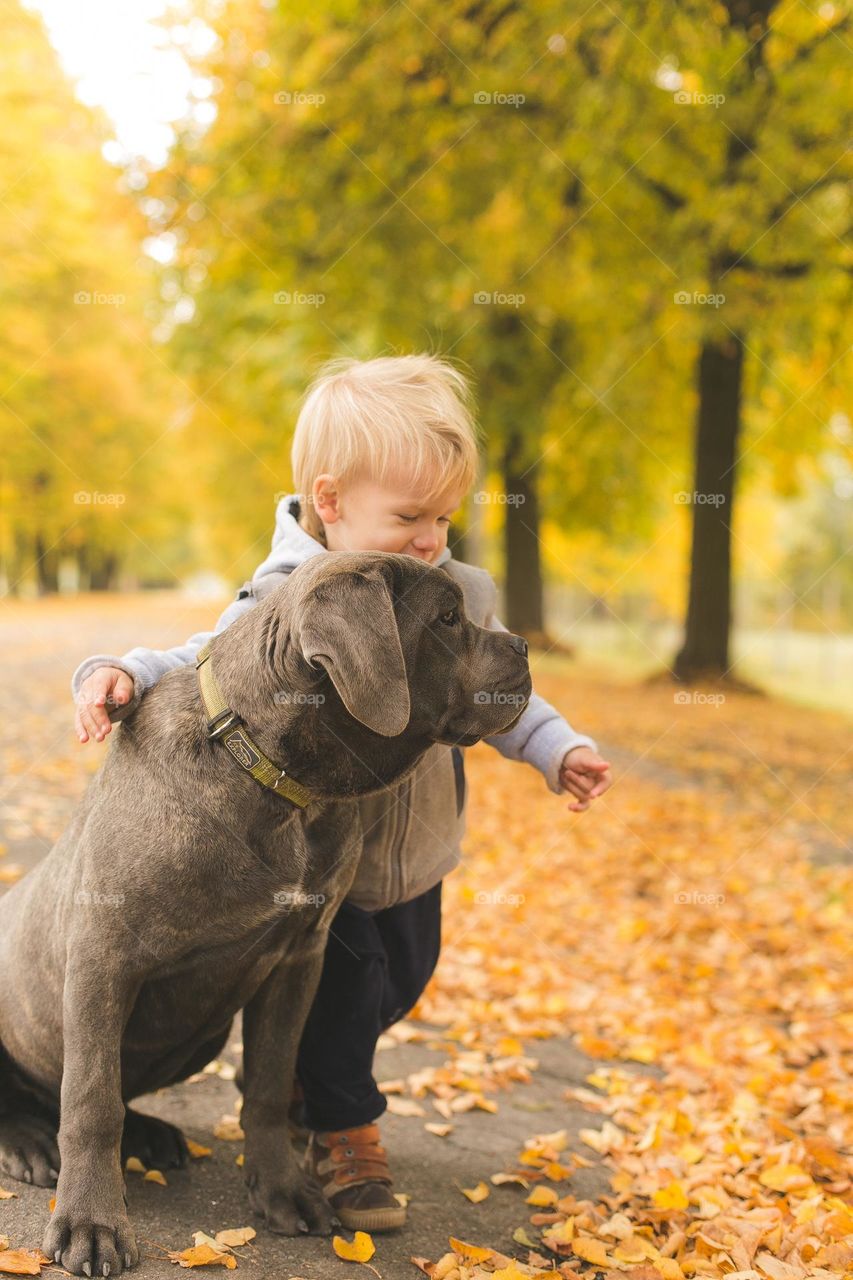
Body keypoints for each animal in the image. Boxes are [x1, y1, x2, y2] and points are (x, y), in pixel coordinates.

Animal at [0, 550, 527, 1269]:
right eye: (447, 618)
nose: (522, 645)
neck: (276, 778)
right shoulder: (103, 957)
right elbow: (91, 1099)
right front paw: (90, 1223)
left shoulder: (297, 959)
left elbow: (271, 1083)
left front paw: (282, 1192)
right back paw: (29, 1141)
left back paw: (151, 1136)